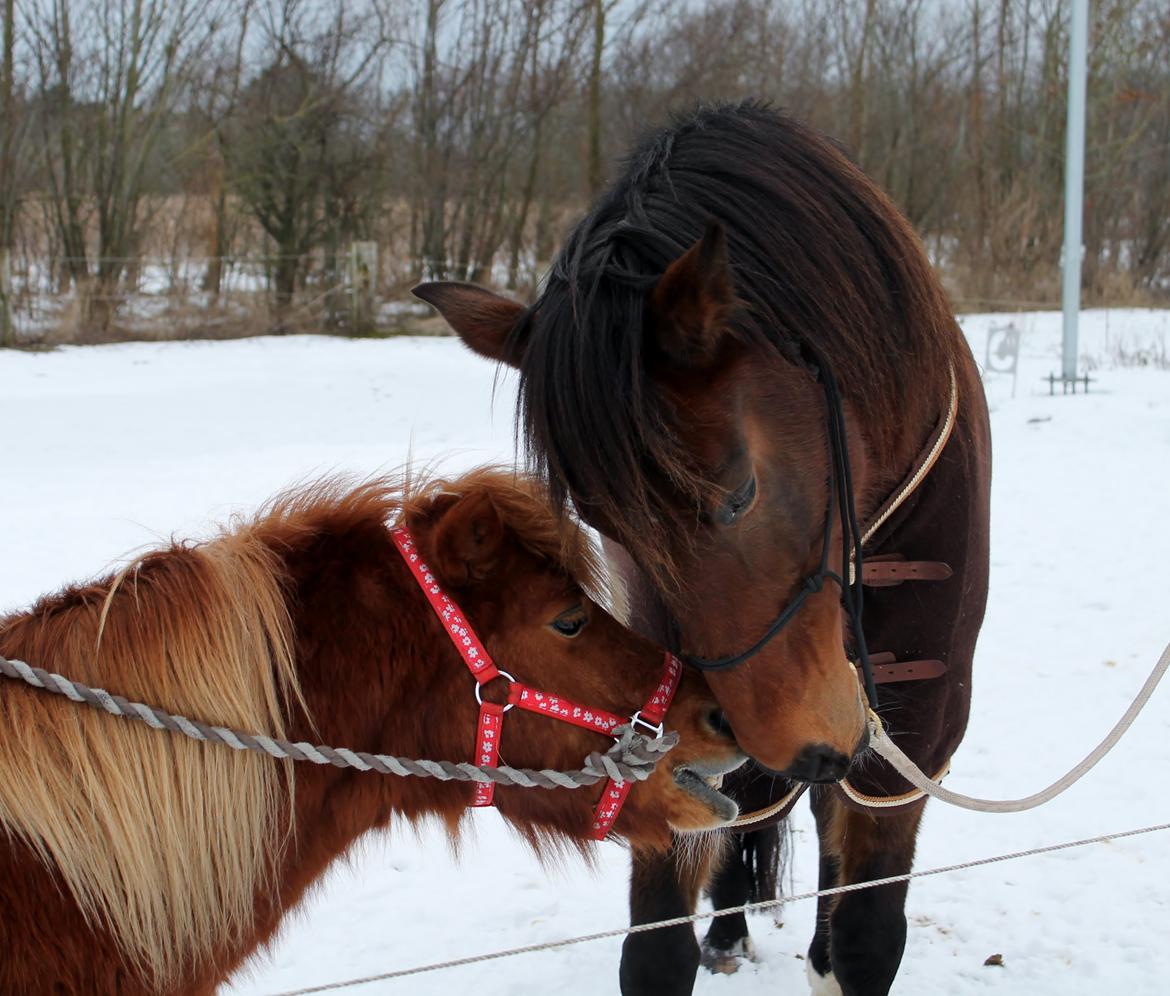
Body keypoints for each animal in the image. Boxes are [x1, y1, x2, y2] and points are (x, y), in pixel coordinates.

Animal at [416, 102, 992, 996]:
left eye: (740, 492)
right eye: (604, 519)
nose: (808, 739)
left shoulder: (910, 743)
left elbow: (868, 938)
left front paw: (837, 950)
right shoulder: (675, 719)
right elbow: (655, 946)